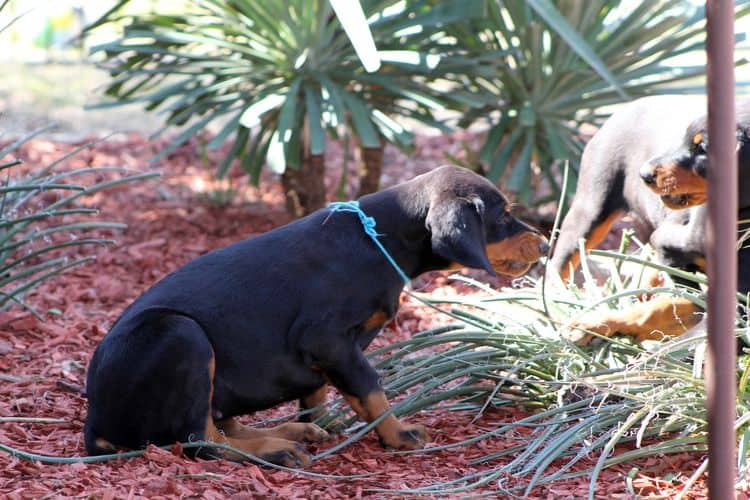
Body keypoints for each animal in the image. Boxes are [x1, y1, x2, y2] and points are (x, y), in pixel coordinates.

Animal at [85, 166, 548, 466]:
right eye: (503, 215)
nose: (545, 245)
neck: (377, 238)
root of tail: (95, 422)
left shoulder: (327, 354)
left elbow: (318, 393)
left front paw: (320, 422)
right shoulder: (328, 339)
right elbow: (370, 388)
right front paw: (398, 434)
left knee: (219, 424)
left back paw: (290, 433)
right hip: (182, 335)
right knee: (199, 440)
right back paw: (273, 450)